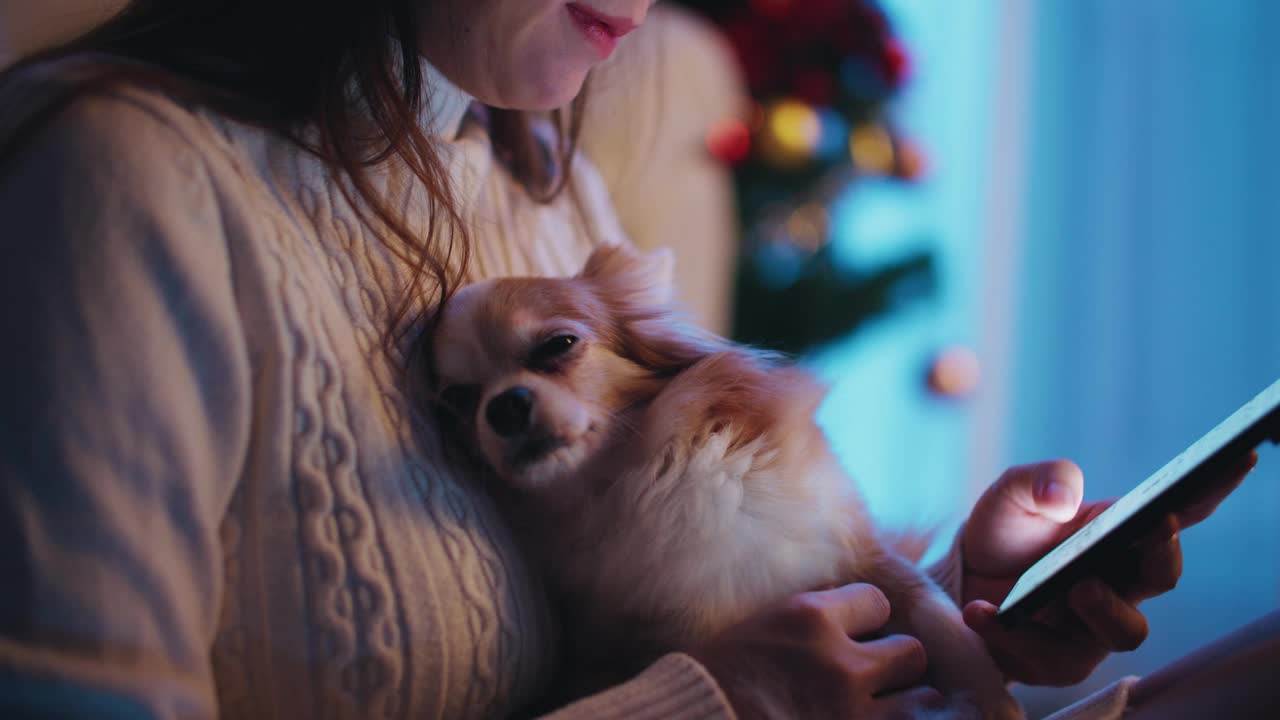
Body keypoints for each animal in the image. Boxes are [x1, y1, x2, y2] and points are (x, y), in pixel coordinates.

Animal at [430, 243, 1018, 712]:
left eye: (558, 345)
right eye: (458, 400)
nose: (503, 407)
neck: (641, 477)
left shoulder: (862, 553)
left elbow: (944, 623)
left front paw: (994, 701)